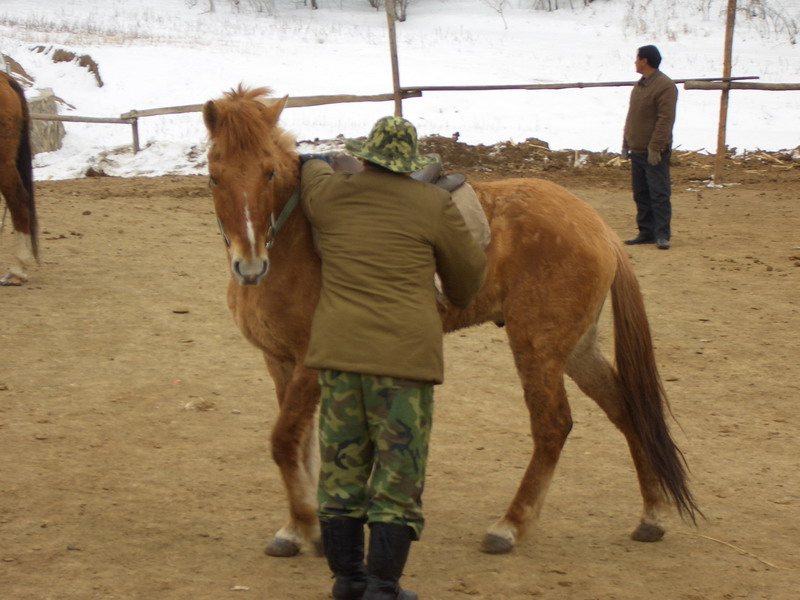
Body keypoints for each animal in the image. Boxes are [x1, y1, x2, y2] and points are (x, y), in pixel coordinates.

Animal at [202, 86, 700, 560]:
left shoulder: (310, 360)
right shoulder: (279, 360)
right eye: (214, 175)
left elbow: (285, 440)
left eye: (269, 173)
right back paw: (652, 514)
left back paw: (510, 525)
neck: (293, 240)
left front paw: (310, 529)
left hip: (537, 347)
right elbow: (299, 446)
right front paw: (295, 528)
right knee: (626, 410)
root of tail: (596, 225)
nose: (250, 266)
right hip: (576, 349)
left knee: (552, 426)